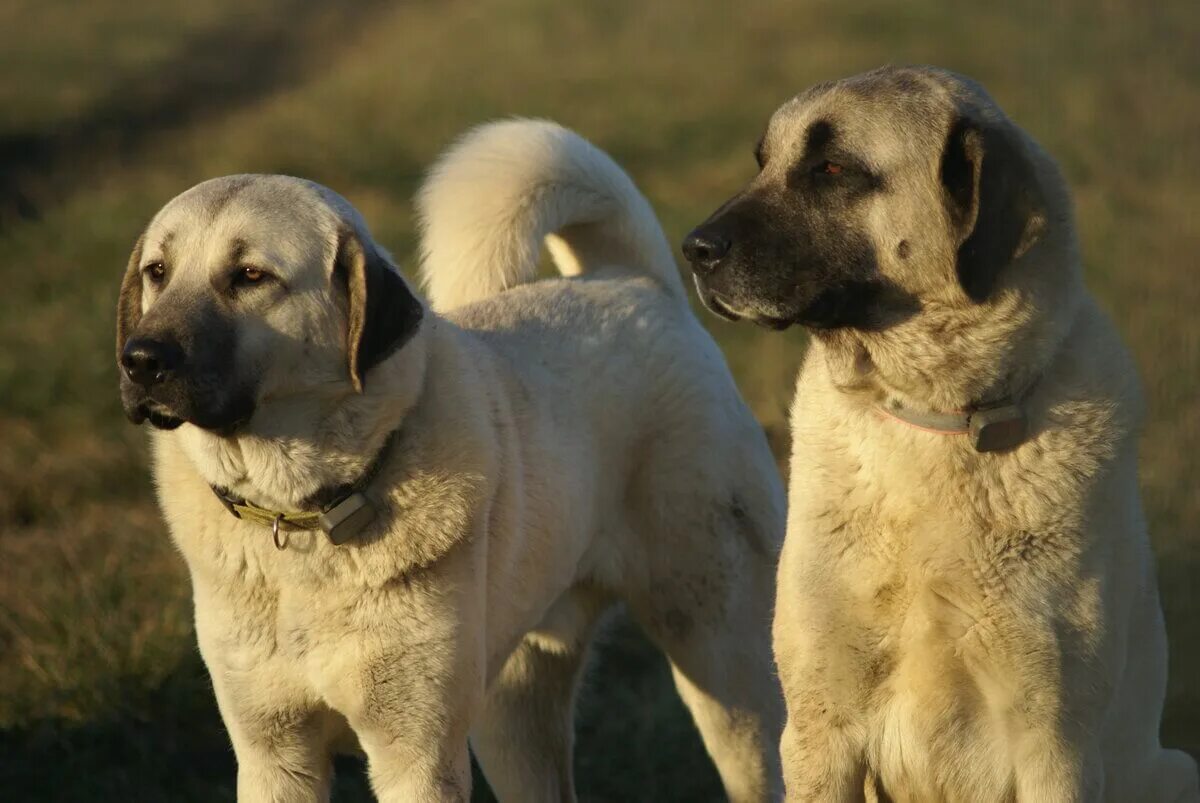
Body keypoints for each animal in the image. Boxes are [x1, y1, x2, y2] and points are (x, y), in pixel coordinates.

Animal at [114, 120, 787, 801]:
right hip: (512, 716)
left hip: (723, 665)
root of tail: (634, 280)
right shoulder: (274, 754)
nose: (139, 360)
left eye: (250, 275)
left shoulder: (416, 756)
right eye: (157, 273)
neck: (306, 508)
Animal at [686, 67, 1200, 801]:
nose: (694, 248)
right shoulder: (819, 727)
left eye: (833, 169)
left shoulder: (1055, 744)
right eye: (765, 163)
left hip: (1173, 766)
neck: (932, 420)